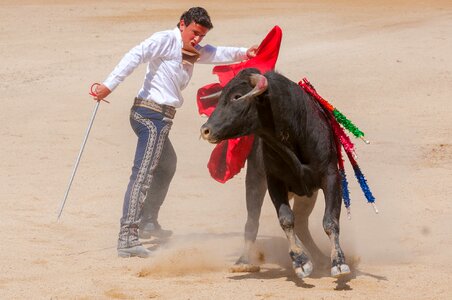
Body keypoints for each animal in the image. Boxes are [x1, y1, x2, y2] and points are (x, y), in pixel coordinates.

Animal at [200, 68, 352, 278]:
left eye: (237, 97)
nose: (205, 130)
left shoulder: (330, 177)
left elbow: (330, 221)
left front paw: (338, 263)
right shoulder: (274, 181)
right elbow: (286, 219)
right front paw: (300, 261)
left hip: (307, 194)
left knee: (302, 224)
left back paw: (320, 258)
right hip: (255, 180)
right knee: (253, 222)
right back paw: (243, 261)